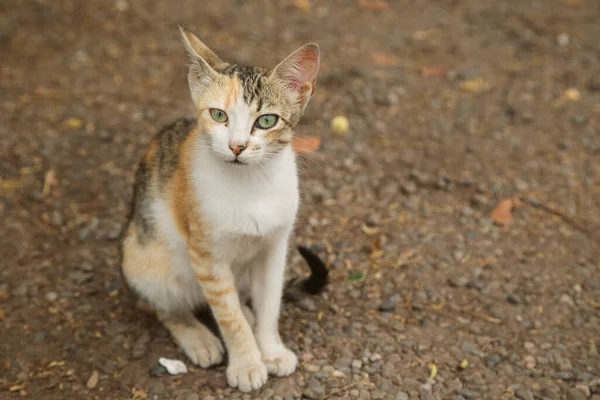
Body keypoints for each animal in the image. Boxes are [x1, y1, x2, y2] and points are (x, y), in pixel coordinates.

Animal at [120, 23, 326, 392]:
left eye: (266, 121)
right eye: (218, 115)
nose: (237, 146)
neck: (250, 186)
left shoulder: (275, 246)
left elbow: (270, 302)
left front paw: (270, 350)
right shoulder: (207, 257)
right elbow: (228, 316)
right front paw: (247, 363)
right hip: (146, 258)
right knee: (164, 306)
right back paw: (198, 337)